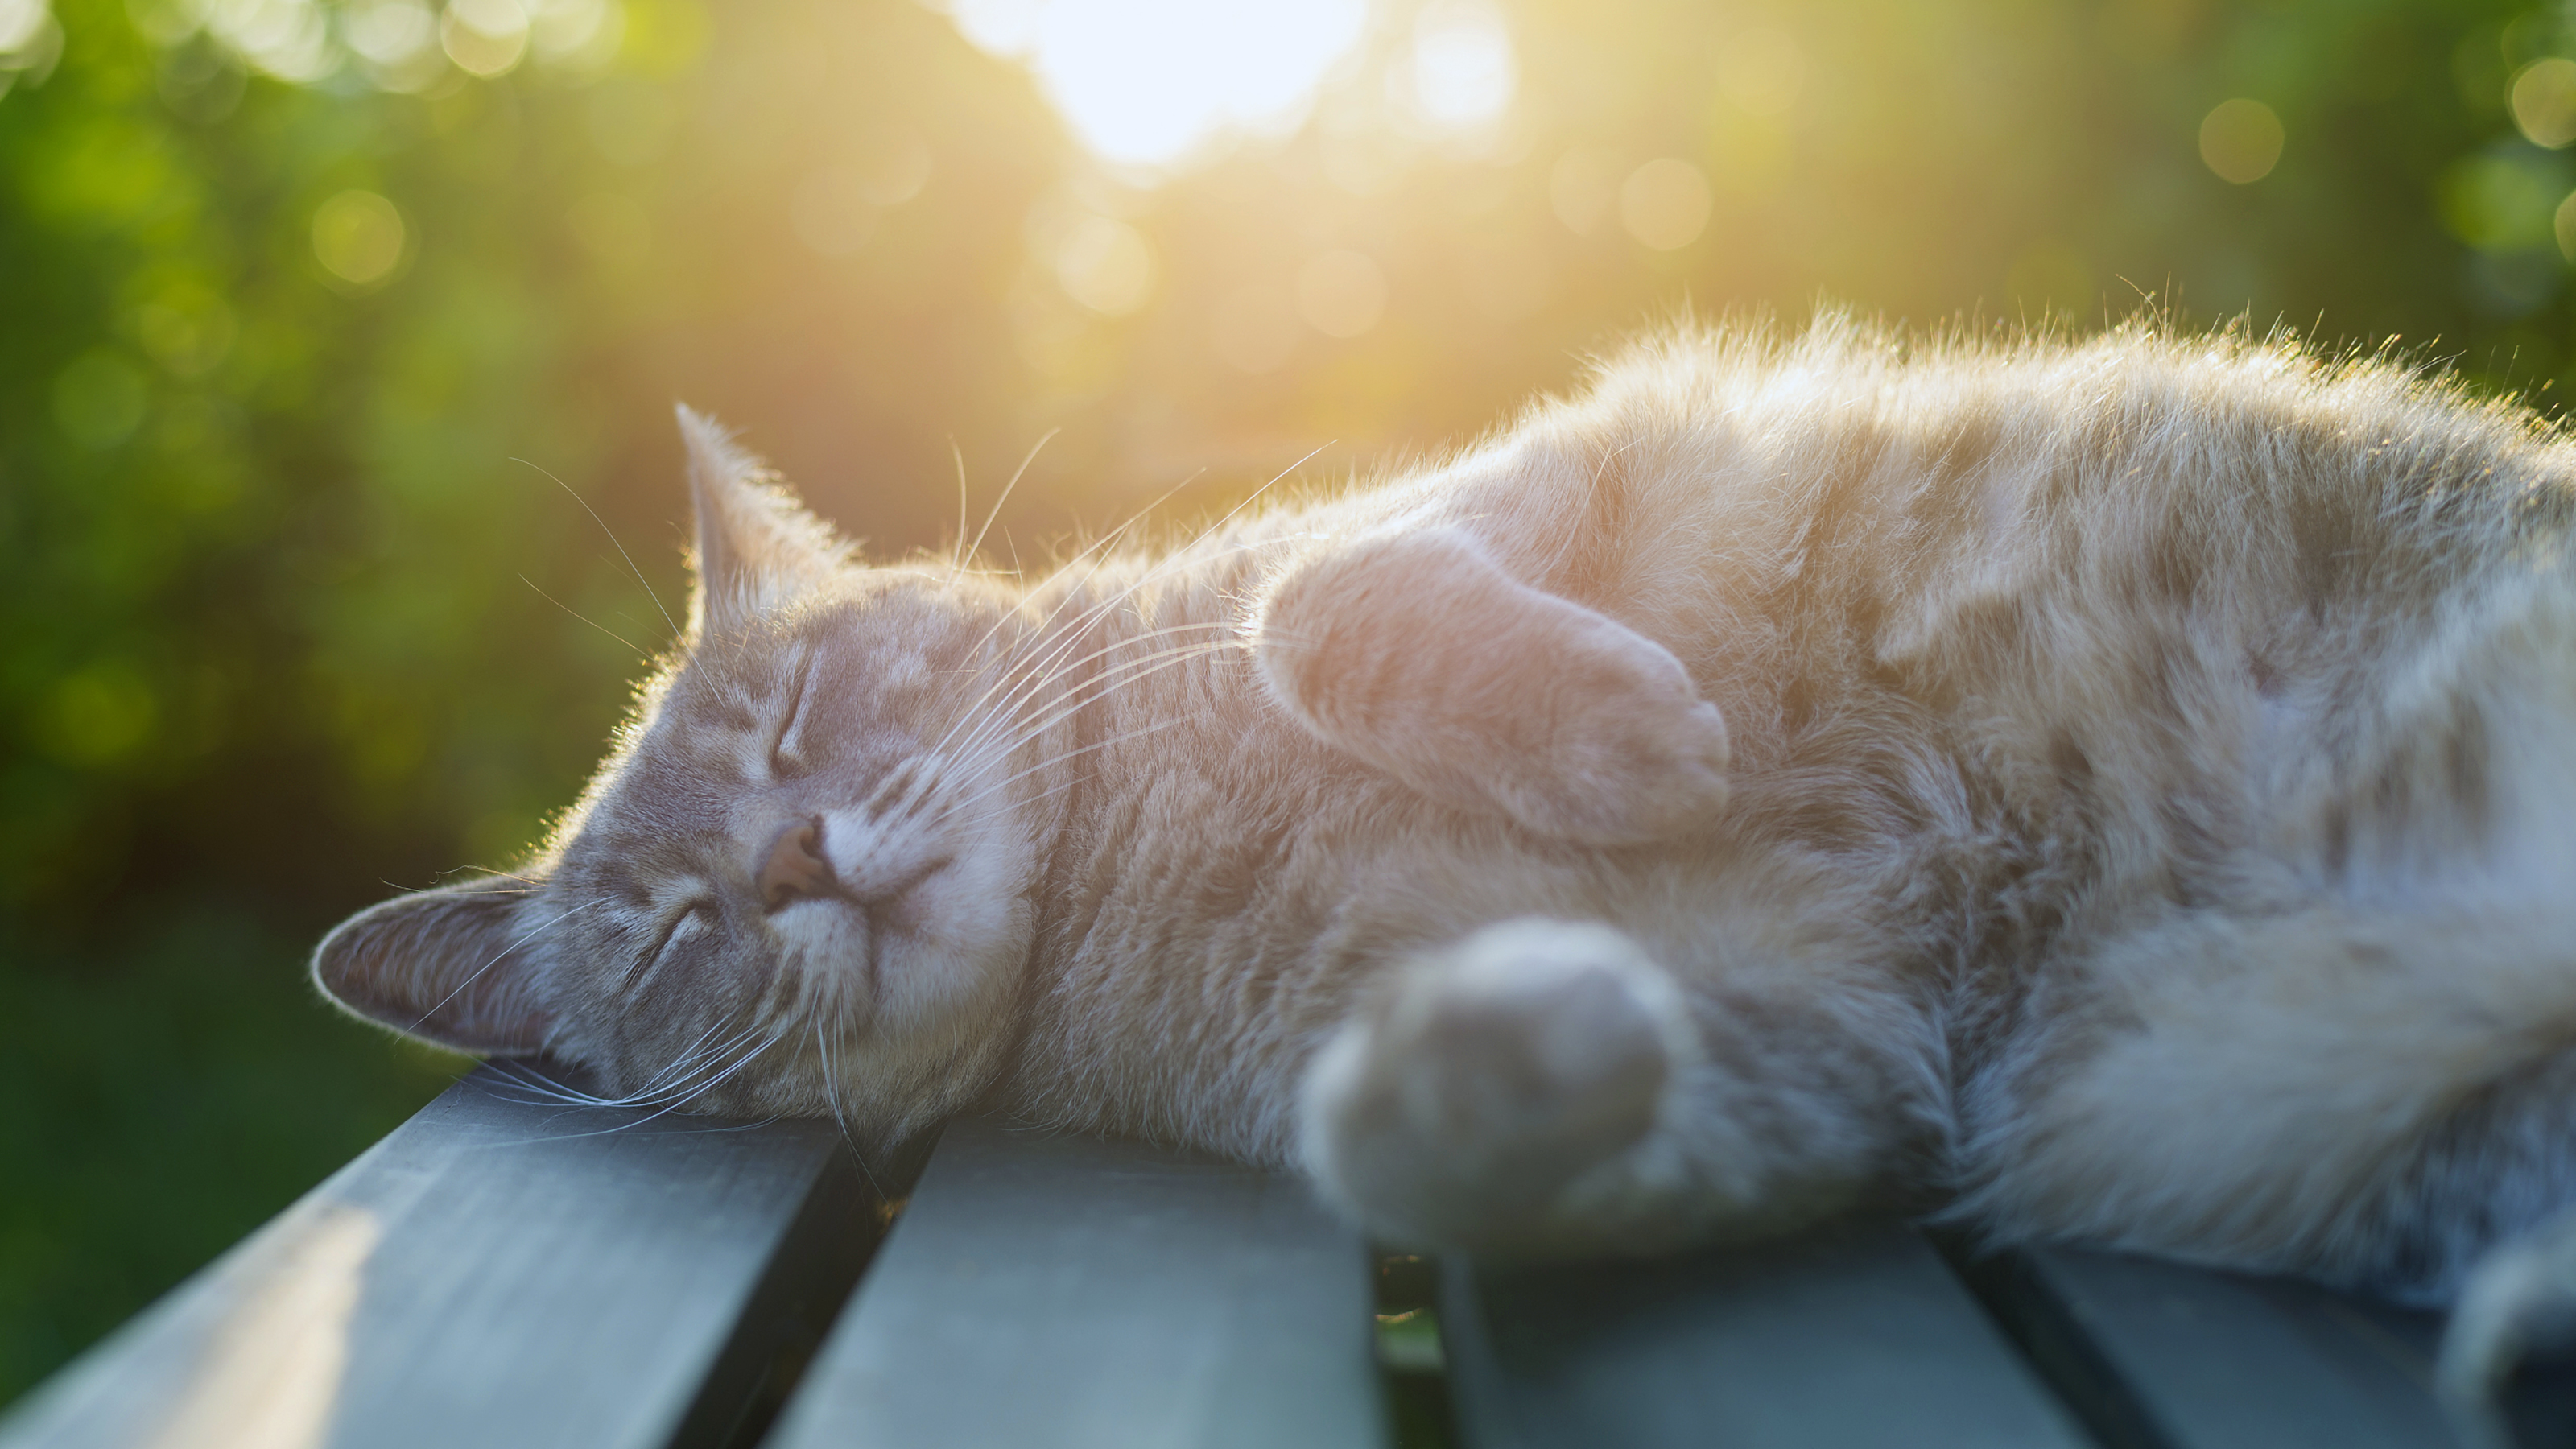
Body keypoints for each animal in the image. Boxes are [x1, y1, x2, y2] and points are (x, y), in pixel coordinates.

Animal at [316, 313, 2576, 1392]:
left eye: (791, 721)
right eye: (670, 930)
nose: (790, 867)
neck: (1143, 852)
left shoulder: (1532, 472)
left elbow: (1320, 604)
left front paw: (1625, 737)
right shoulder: (1850, 1053)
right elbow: (1412, 1149)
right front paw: (1491, 1046)